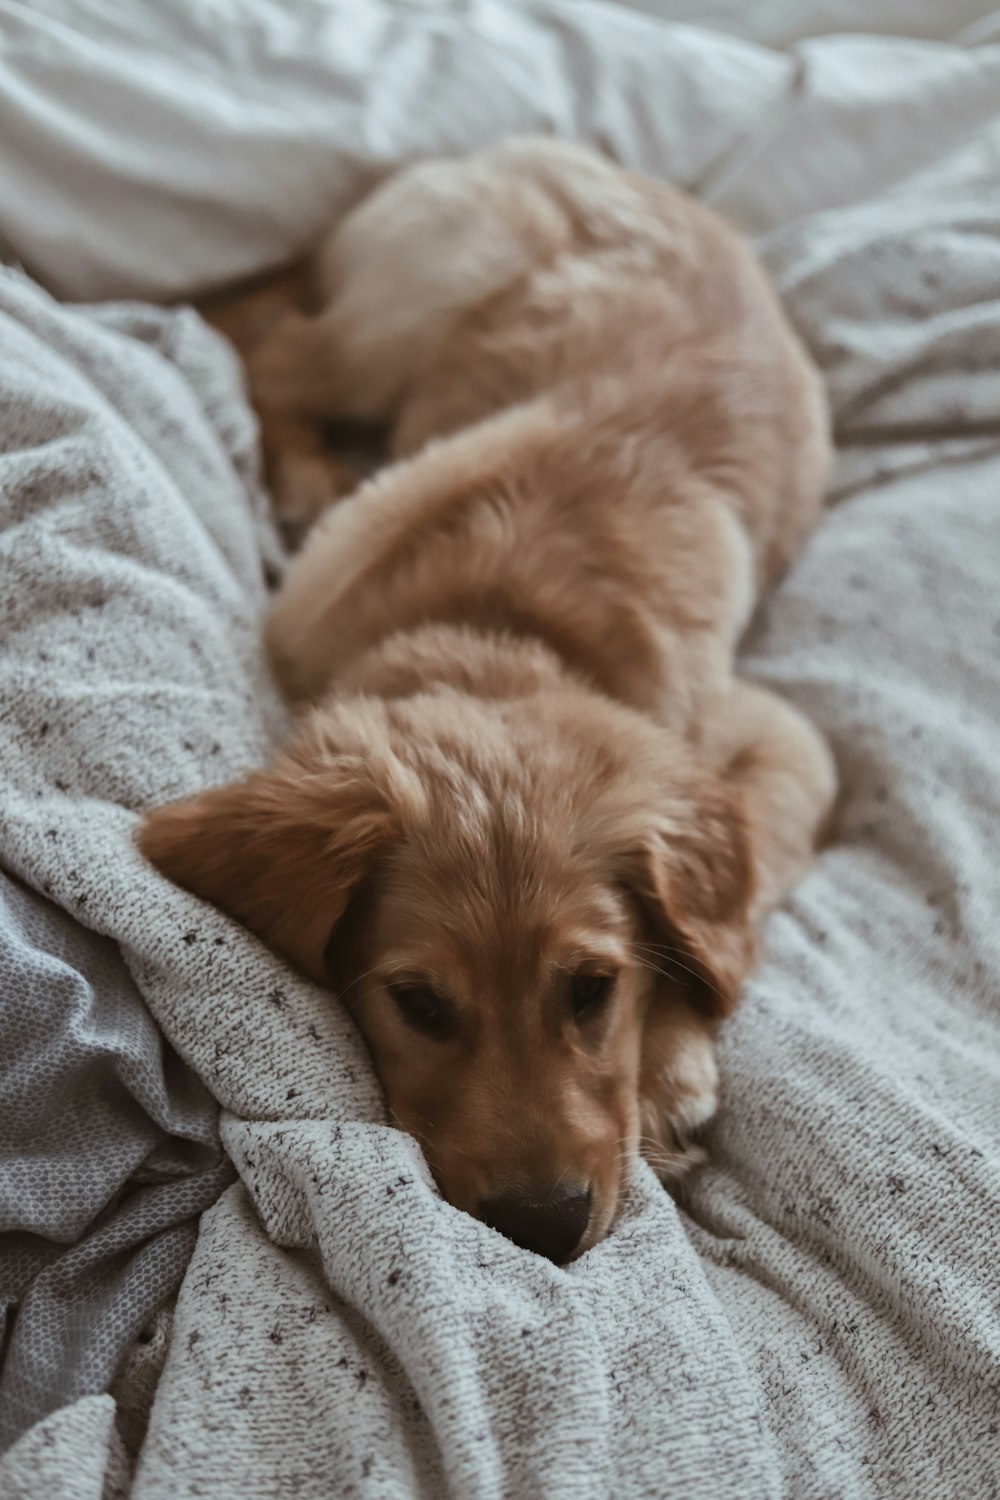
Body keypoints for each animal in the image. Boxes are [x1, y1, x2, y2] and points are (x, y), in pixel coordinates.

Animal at [140, 141, 839, 1266]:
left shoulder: (784, 741)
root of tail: (525, 147)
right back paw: (304, 473)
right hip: (406, 314)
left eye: (593, 989)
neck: (497, 625)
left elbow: (744, 892)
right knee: (268, 346)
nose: (541, 1227)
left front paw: (668, 1067)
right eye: (420, 1005)